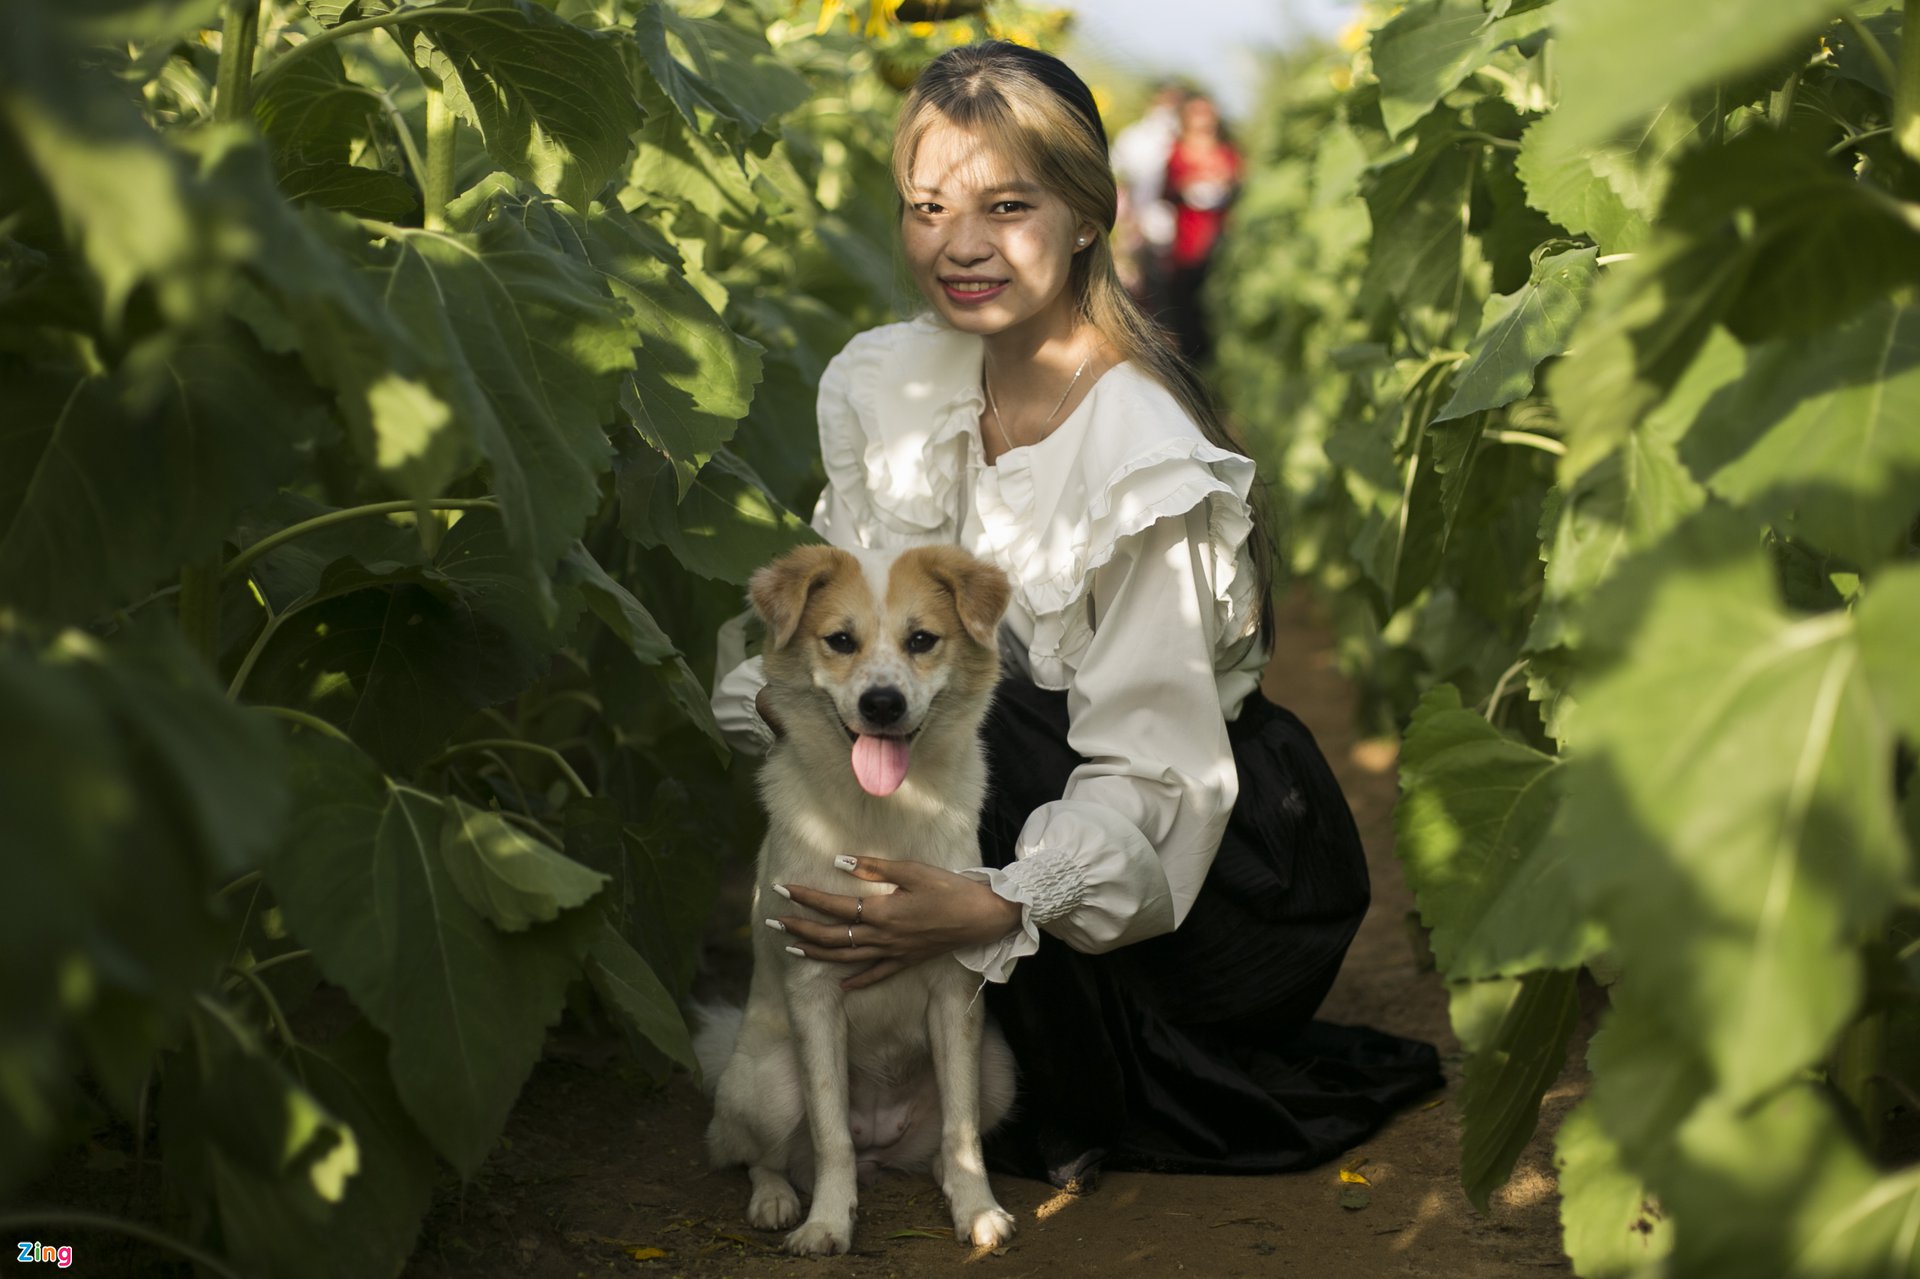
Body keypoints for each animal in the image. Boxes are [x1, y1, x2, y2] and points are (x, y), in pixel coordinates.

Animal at [695, 541, 1021, 1252]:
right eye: (840, 640)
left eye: (921, 639)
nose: (881, 703)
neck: (883, 815)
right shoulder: (814, 991)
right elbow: (829, 1135)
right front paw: (825, 1223)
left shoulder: (955, 993)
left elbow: (961, 1132)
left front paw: (977, 1210)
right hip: (767, 1085)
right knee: (761, 1156)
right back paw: (777, 1201)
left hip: (998, 1068)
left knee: (942, 1143)